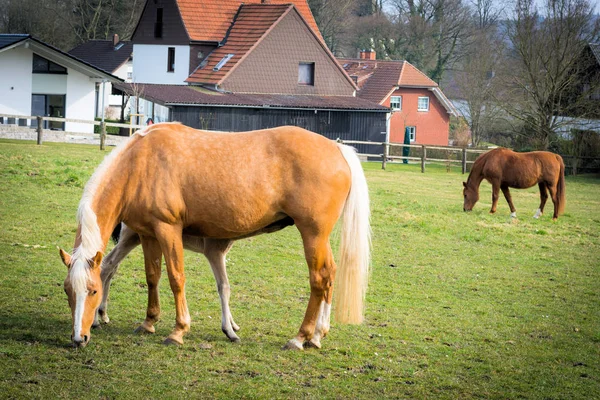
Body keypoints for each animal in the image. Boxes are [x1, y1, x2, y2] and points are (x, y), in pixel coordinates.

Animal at [61, 122, 370, 350]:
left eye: (93, 290)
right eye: (67, 290)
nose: (79, 338)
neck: (140, 162)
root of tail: (338, 148)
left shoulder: (167, 229)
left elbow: (176, 278)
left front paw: (178, 330)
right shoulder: (149, 234)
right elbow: (153, 277)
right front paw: (149, 322)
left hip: (313, 234)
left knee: (319, 279)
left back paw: (300, 337)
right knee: (329, 275)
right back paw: (317, 335)